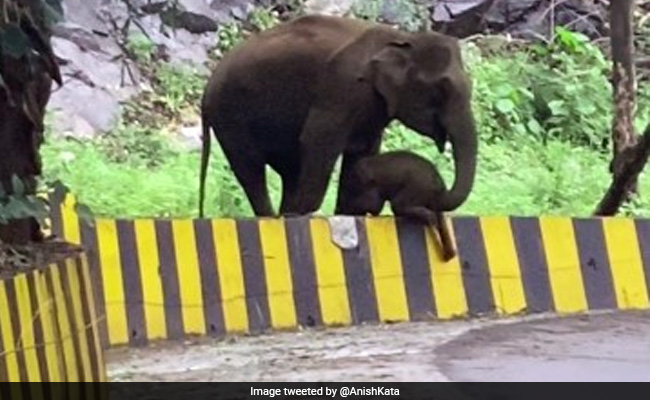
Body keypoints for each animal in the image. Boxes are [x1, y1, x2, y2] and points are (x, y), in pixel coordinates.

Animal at [198, 14, 477, 218]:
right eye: (441, 89)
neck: (403, 38)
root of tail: (207, 88)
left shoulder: (371, 106)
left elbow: (362, 150)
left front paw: (352, 211)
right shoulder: (342, 87)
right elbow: (317, 140)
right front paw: (307, 214)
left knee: (289, 170)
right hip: (229, 117)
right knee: (251, 169)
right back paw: (277, 217)